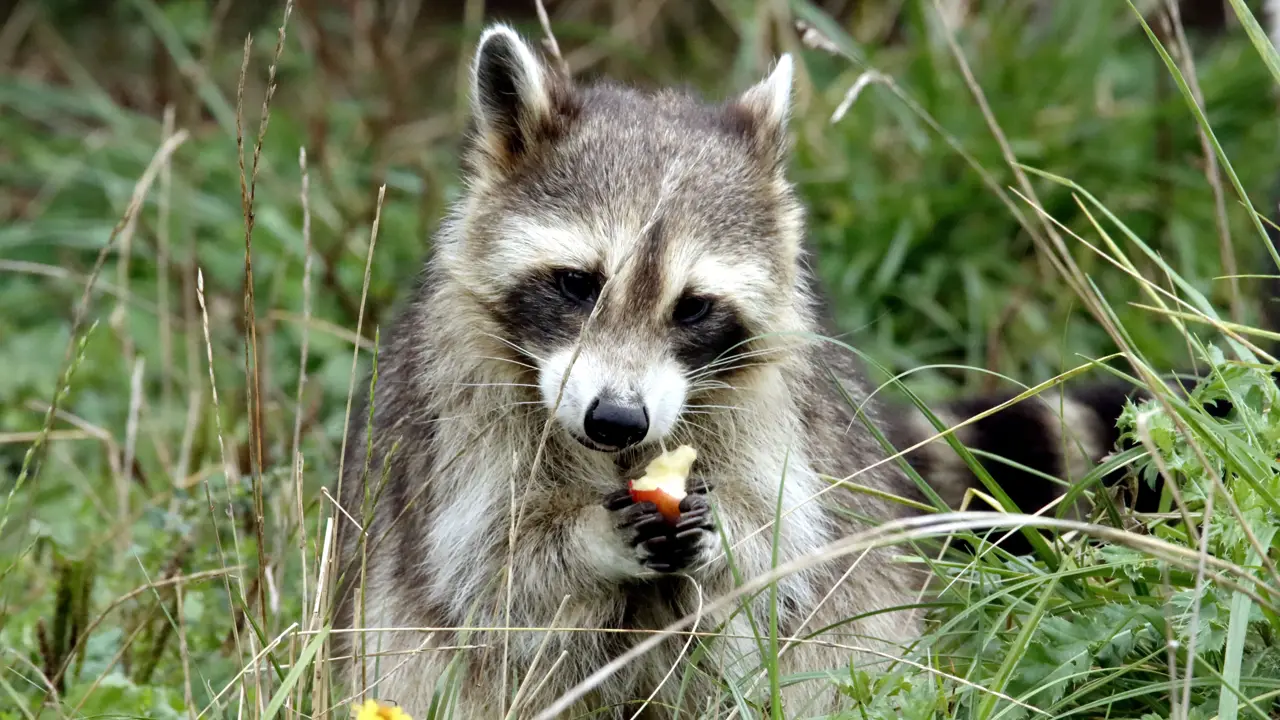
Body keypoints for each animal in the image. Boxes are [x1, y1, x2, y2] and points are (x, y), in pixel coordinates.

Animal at [329, 23, 1155, 718]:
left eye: (693, 307)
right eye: (578, 284)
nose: (616, 419)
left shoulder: (771, 405)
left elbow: (782, 551)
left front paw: (727, 531)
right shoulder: (462, 408)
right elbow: (491, 574)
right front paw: (590, 539)